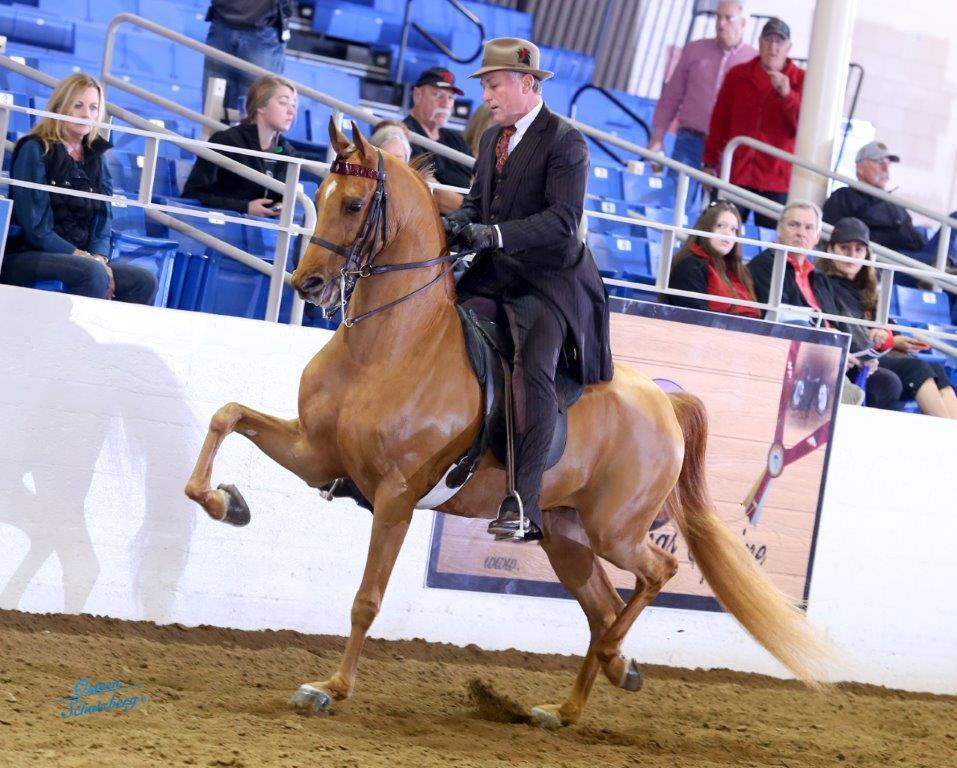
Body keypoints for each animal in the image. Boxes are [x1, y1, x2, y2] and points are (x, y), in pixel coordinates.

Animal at [185, 119, 830, 728]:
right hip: (567, 535)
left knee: (658, 571)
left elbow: (367, 598)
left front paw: (329, 689)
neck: (389, 345)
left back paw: (617, 661)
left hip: (615, 530)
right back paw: (571, 703)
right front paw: (225, 502)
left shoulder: (395, 496)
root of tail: (663, 401)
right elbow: (227, 415)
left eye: (353, 204)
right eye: (318, 194)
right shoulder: (317, 455)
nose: (308, 285)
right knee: (600, 608)